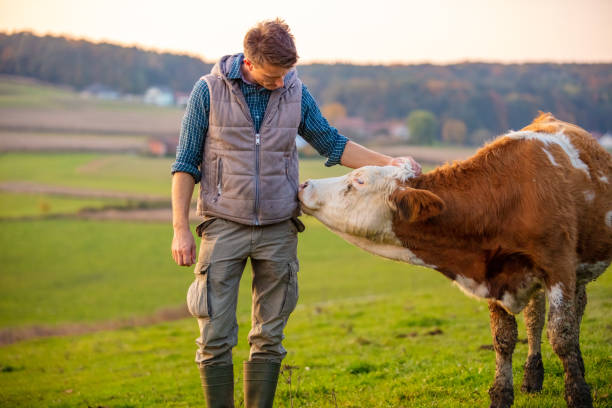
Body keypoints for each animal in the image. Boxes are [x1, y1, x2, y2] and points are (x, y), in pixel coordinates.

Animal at [298, 112, 608, 408]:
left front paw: (578, 394)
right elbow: (503, 338)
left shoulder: (559, 267)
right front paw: (501, 395)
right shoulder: (494, 272)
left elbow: (562, 335)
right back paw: (533, 377)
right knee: (536, 318)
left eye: (358, 181)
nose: (304, 184)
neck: (507, 198)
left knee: (573, 312)